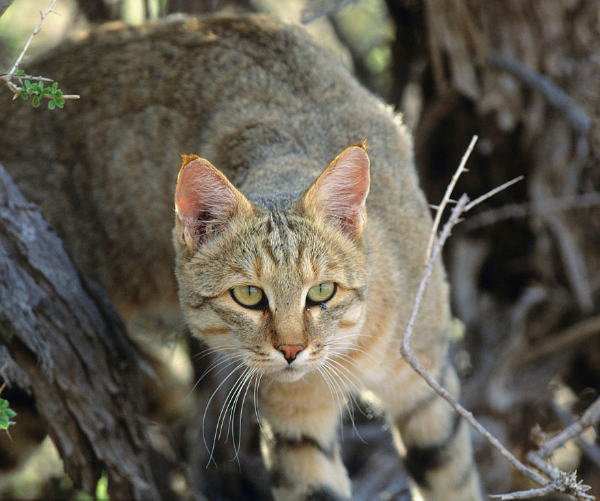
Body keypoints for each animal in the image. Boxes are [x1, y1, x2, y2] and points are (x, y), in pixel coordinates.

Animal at [0, 12, 480, 500]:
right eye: (249, 296)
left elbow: (454, 478)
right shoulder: (296, 426)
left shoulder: (426, 384)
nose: (291, 350)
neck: (351, 350)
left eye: (322, 292)